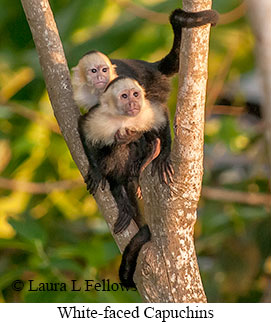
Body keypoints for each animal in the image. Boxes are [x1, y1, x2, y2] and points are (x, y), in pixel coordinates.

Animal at [71, 7, 219, 185]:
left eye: (104, 70)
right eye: (93, 71)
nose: (101, 77)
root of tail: (153, 67)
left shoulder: (121, 77)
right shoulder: (84, 95)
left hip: (156, 86)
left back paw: (153, 149)